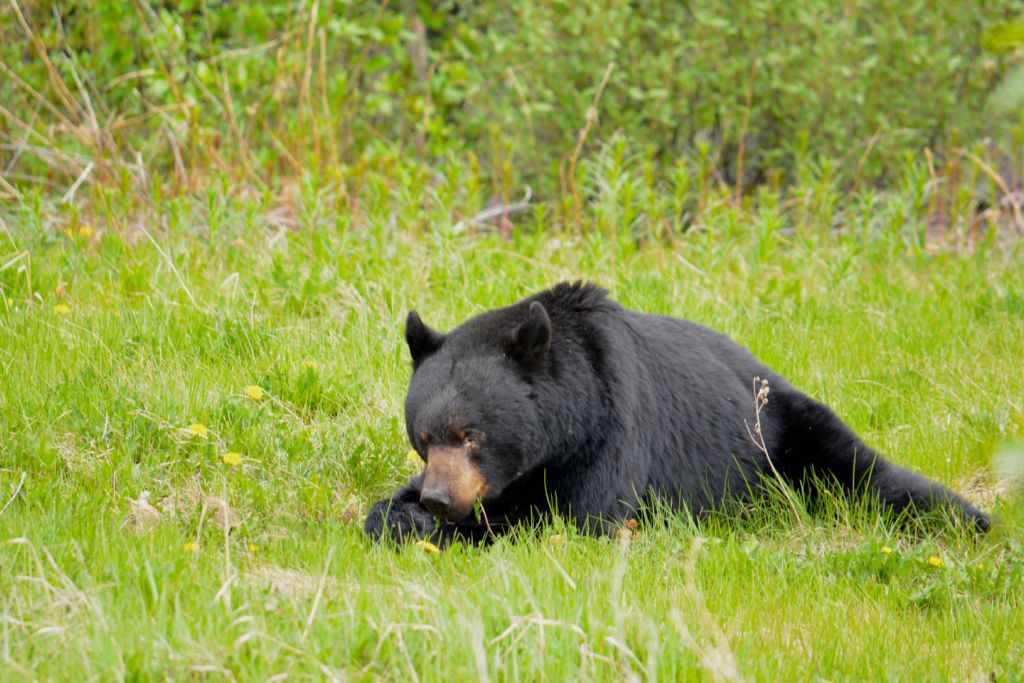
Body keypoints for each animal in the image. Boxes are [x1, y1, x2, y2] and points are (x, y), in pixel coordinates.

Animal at [364, 282, 989, 544]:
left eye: (472, 434)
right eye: (424, 438)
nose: (438, 499)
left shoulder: (613, 430)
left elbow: (571, 519)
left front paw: (456, 529)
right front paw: (398, 515)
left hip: (784, 431)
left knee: (865, 473)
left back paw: (969, 518)